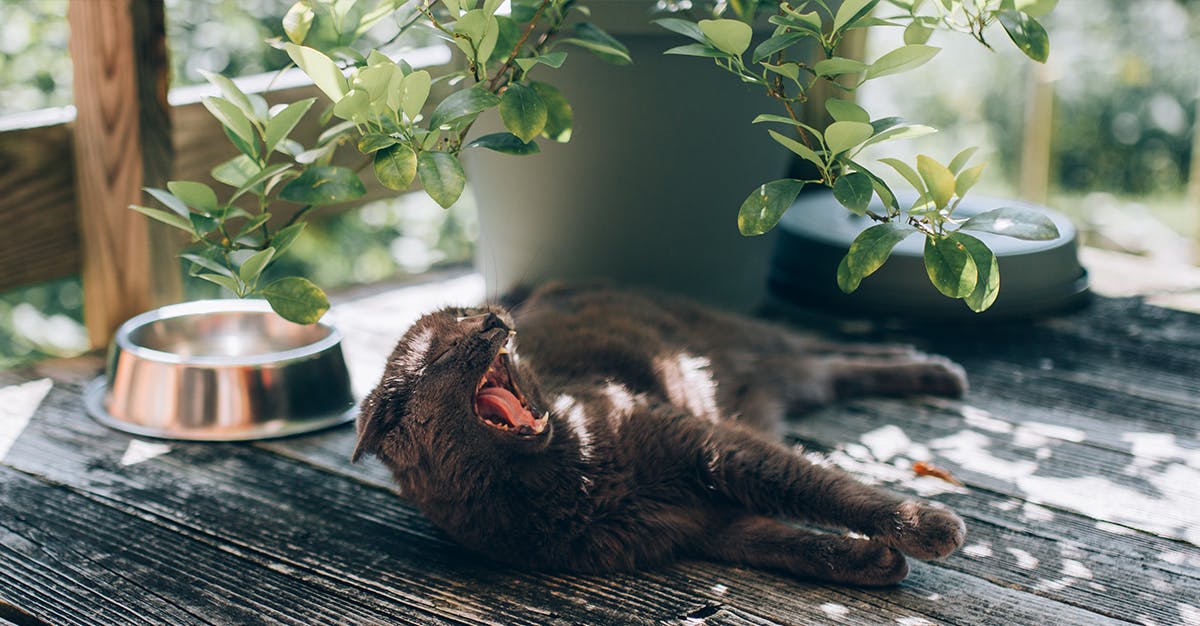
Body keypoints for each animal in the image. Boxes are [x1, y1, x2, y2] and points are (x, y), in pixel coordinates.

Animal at [350, 280, 969, 582]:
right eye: (443, 350)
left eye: (469, 311)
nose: (493, 319)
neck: (568, 477)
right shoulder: (696, 529)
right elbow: (785, 545)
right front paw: (875, 563)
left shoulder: (713, 447)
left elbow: (816, 486)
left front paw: (925, 526)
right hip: (785, 373)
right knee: (831, 367)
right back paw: (930, 367)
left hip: (750, 343)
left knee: (826, 348)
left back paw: (934, 367)